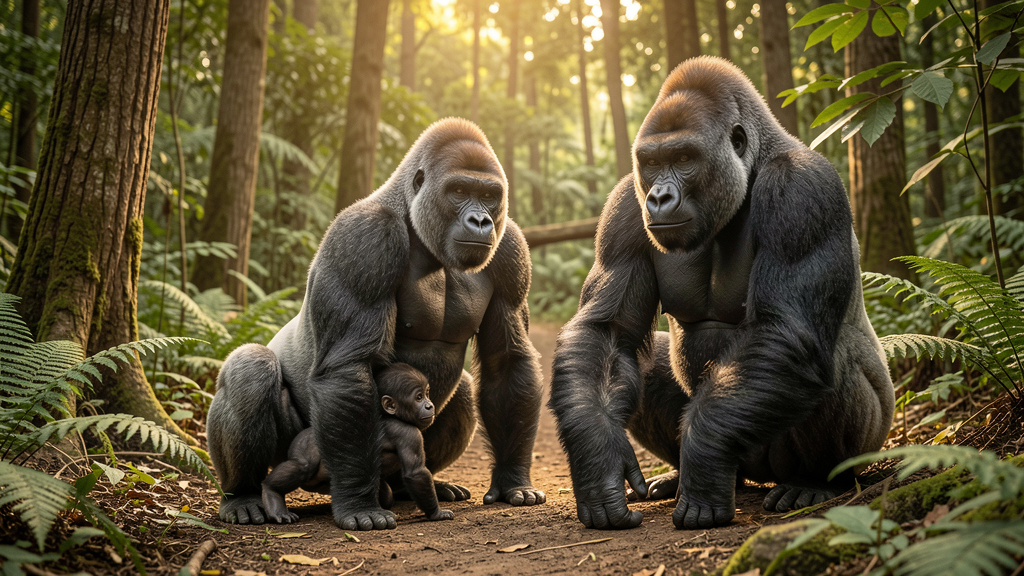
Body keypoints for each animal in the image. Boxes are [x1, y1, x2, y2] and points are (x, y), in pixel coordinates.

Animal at [260, 363, 454, 524]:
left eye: (427, 394)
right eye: (419, 397)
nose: (429, 405)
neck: (393, 415)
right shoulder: (409, 434)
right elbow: (416, 473)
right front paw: (436, 513)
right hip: (303, 443)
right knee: (302, 465)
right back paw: (272, 492)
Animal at [548, 56, 895, 530]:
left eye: (683, 158)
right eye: (651, 162)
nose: (658, 196)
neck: (753, 166)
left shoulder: (802, 191)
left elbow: (784, 332)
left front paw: (706, 455)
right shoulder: (624, 206)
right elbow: (608, 332)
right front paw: (598, 457)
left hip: (864, 441)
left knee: (821, 362)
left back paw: (814, 481)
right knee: (644, 364)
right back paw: (682, 475)